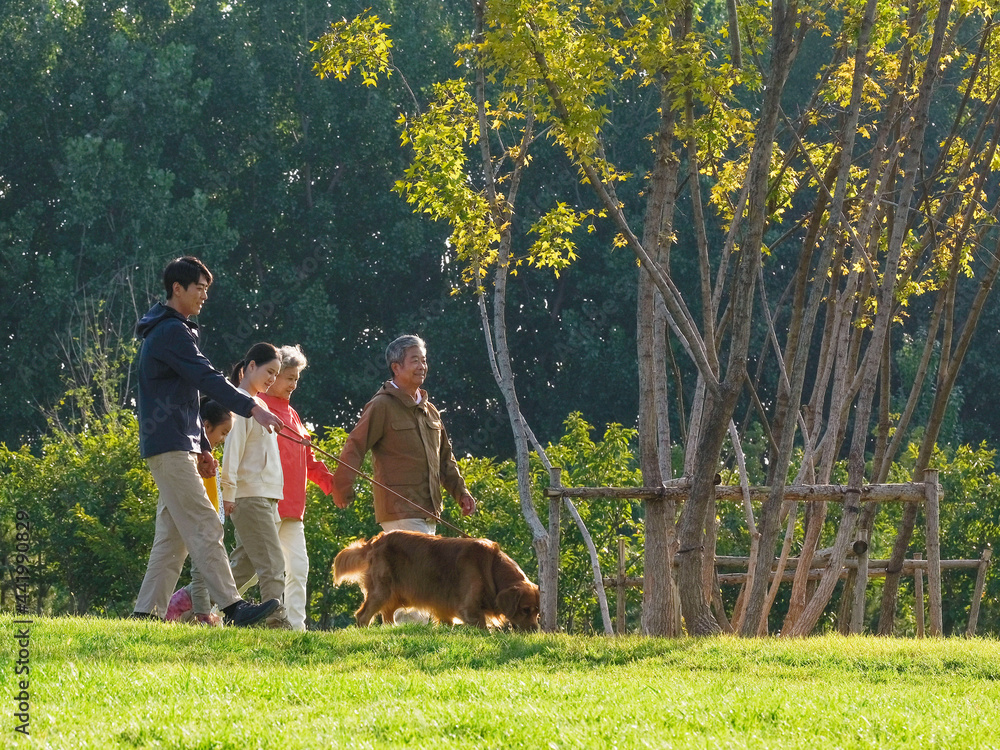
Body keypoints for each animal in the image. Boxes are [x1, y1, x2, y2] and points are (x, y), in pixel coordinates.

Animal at [334, 532, 540, 632]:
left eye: (537, 612)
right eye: (525, 610)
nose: (535, 630)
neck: (492, 568)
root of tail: (375, 540)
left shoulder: (445, 606)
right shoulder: (469, 608)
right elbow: (482, 626)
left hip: (398, 594)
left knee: (387, 614)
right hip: (382, 590)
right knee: (363, 616)